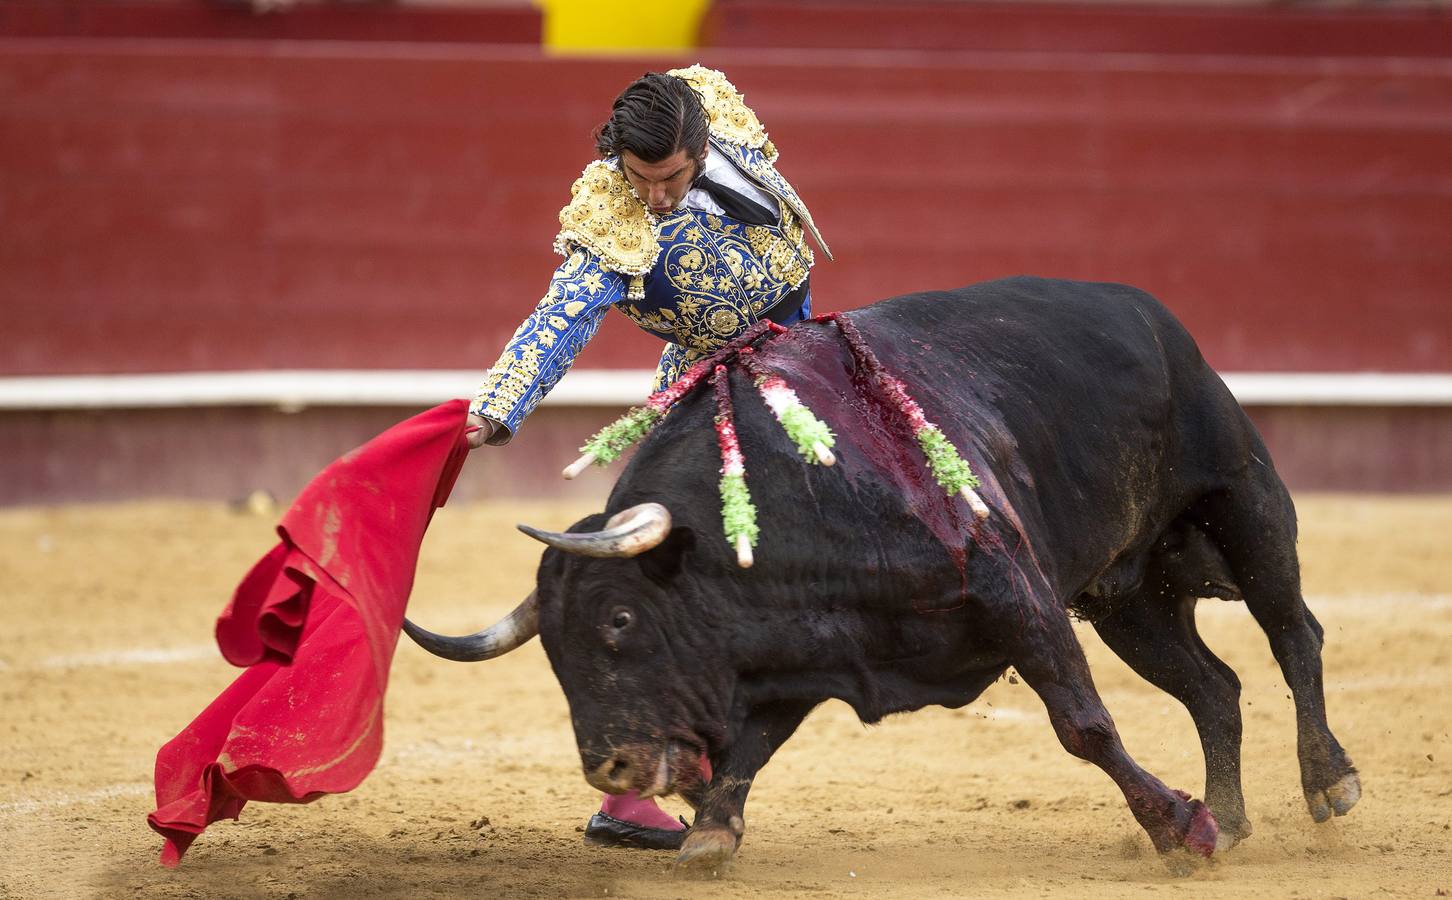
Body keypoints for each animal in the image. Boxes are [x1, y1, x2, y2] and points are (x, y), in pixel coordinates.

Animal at [409, 275, 1359, 870]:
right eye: (554, 652)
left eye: (619, 620)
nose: (607, 767)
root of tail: (1151, 314)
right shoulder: (795, 651)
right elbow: (749, 749)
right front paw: (708, 837)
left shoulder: (1018, 594)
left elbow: (1083, 726)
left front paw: (1173, 830)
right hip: (1130, 600)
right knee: (1214, 687)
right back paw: (1231, 818)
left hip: (1246, 503)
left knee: (1294, 636)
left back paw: (1326, 783)